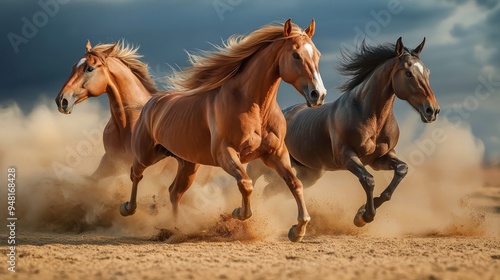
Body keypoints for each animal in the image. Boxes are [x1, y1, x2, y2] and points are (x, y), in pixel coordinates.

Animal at [120, 19, 328, 242]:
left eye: (317, 54)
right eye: (296, 55)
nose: (318, 94)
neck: (256, 108)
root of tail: (152, 102)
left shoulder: (276, 154)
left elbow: (295, 183)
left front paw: (298, 230)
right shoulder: (225, 153)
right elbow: (246, 183)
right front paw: (239, 213)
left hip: (188, 164)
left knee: (175, 192)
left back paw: (175, 228)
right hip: (147, 154)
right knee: (136, 174)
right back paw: (128, 208)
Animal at [246, 37, 438, 229]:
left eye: (428, 72)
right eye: (408, 73)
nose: (432, 110)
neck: (370, 117)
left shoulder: (380, 158)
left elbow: (401, 170)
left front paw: (364, 210)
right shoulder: (347, 156)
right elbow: (368, 180)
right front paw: (364, 216)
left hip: (309, 174)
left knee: (271, 190)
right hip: (261, 165)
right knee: (252, 182)